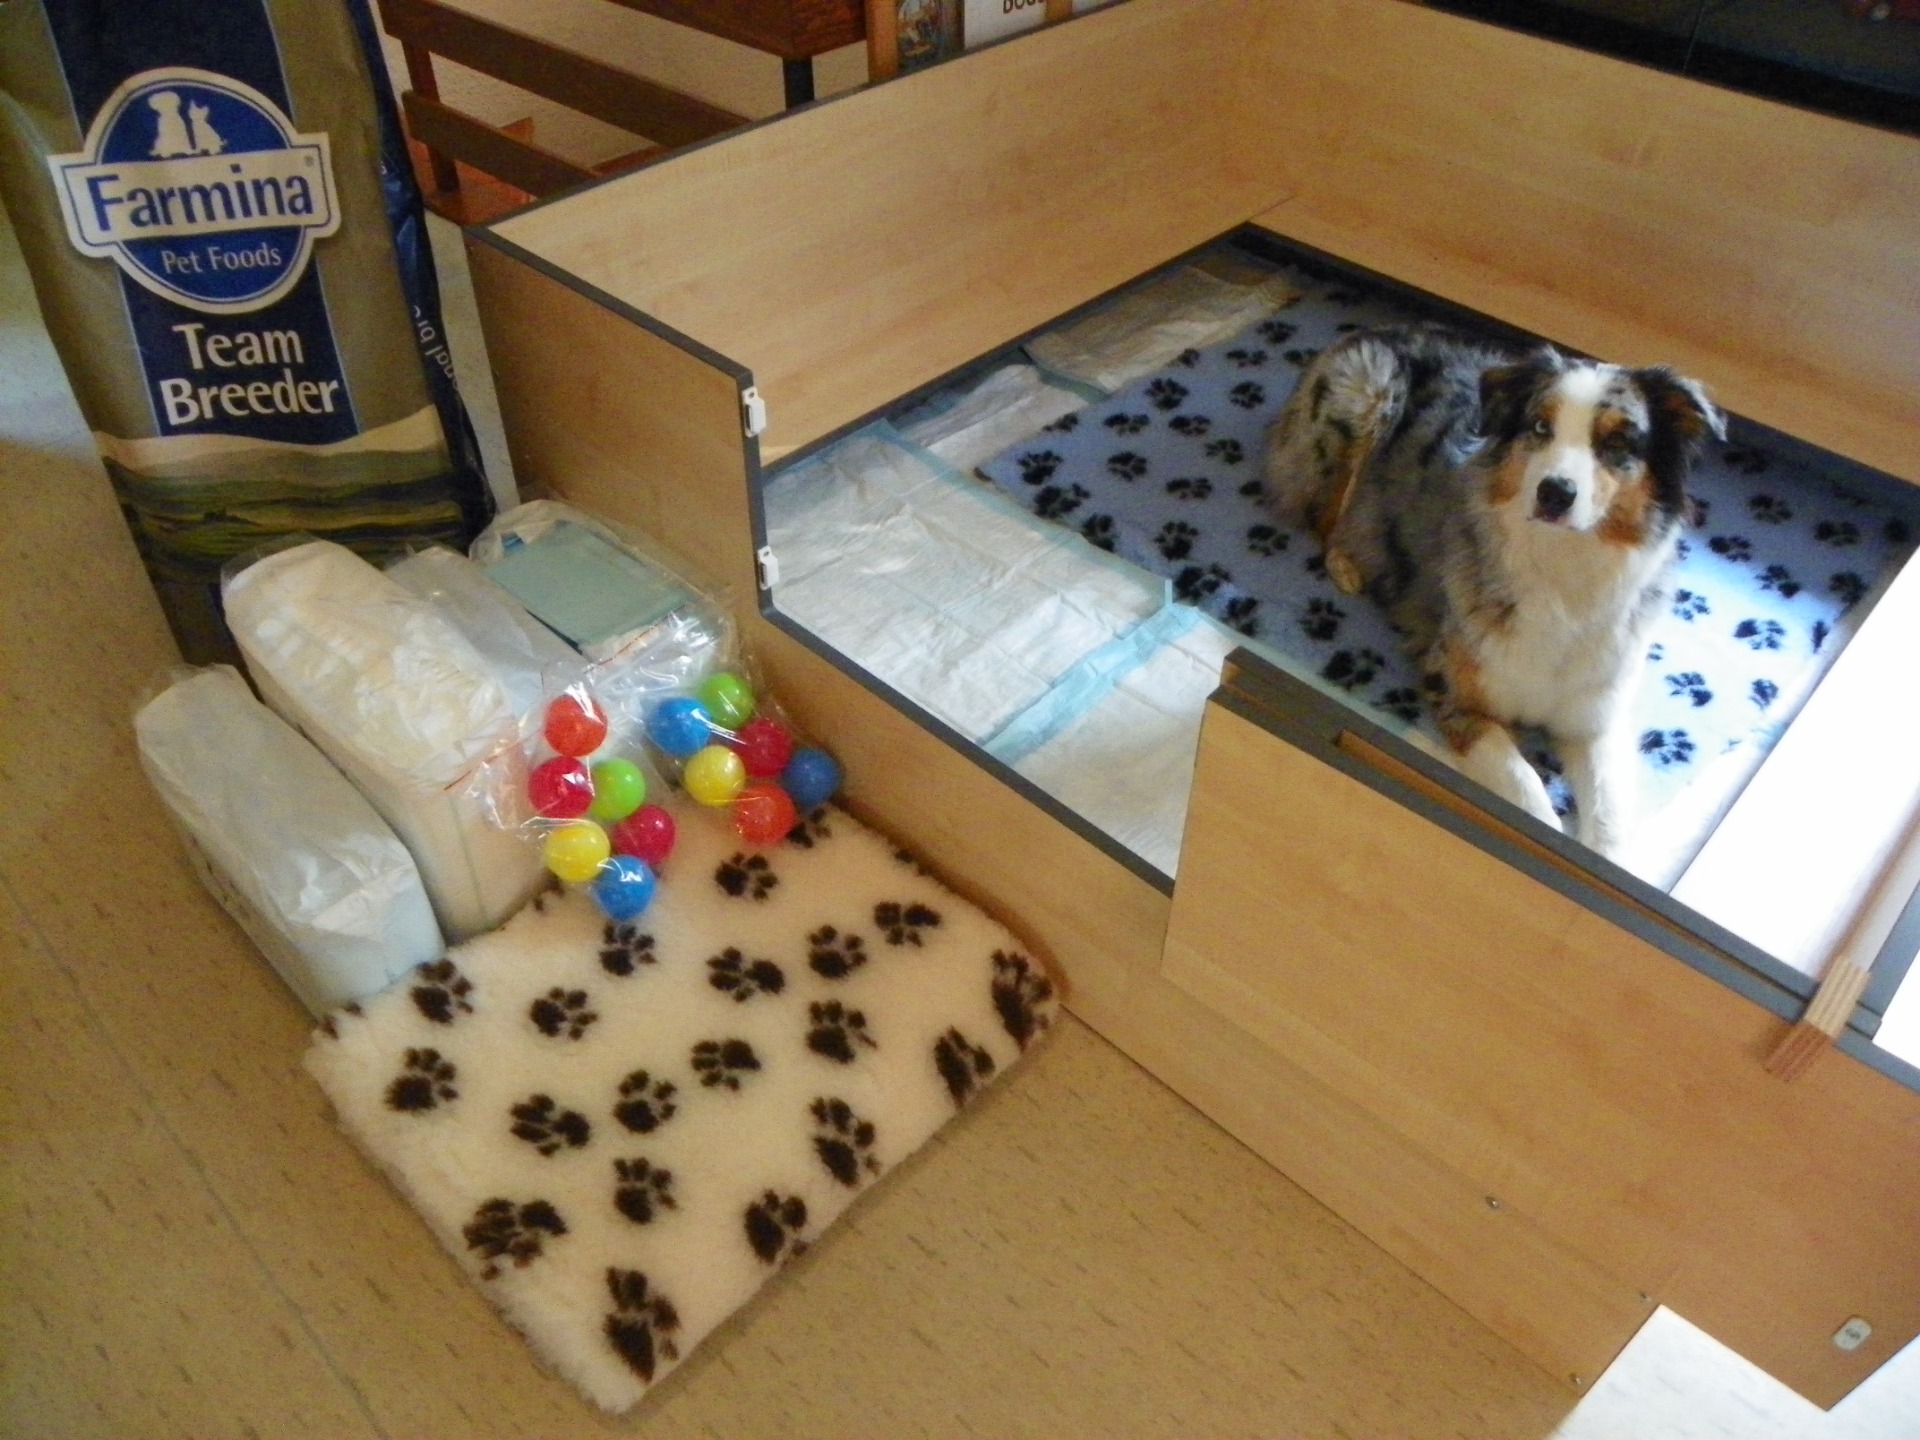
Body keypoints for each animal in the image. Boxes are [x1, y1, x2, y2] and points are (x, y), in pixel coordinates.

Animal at [1263, 323, 1724, 858]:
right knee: (1324, 518)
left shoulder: (1594, 720)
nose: (1555, 492)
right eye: (1541, 427)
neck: (1561, 569)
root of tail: (1375, 328)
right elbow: (1528, 796)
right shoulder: (1458, 696)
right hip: (1369, 395)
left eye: (1616, 442)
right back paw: (1349, 566)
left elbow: (1606, 824)